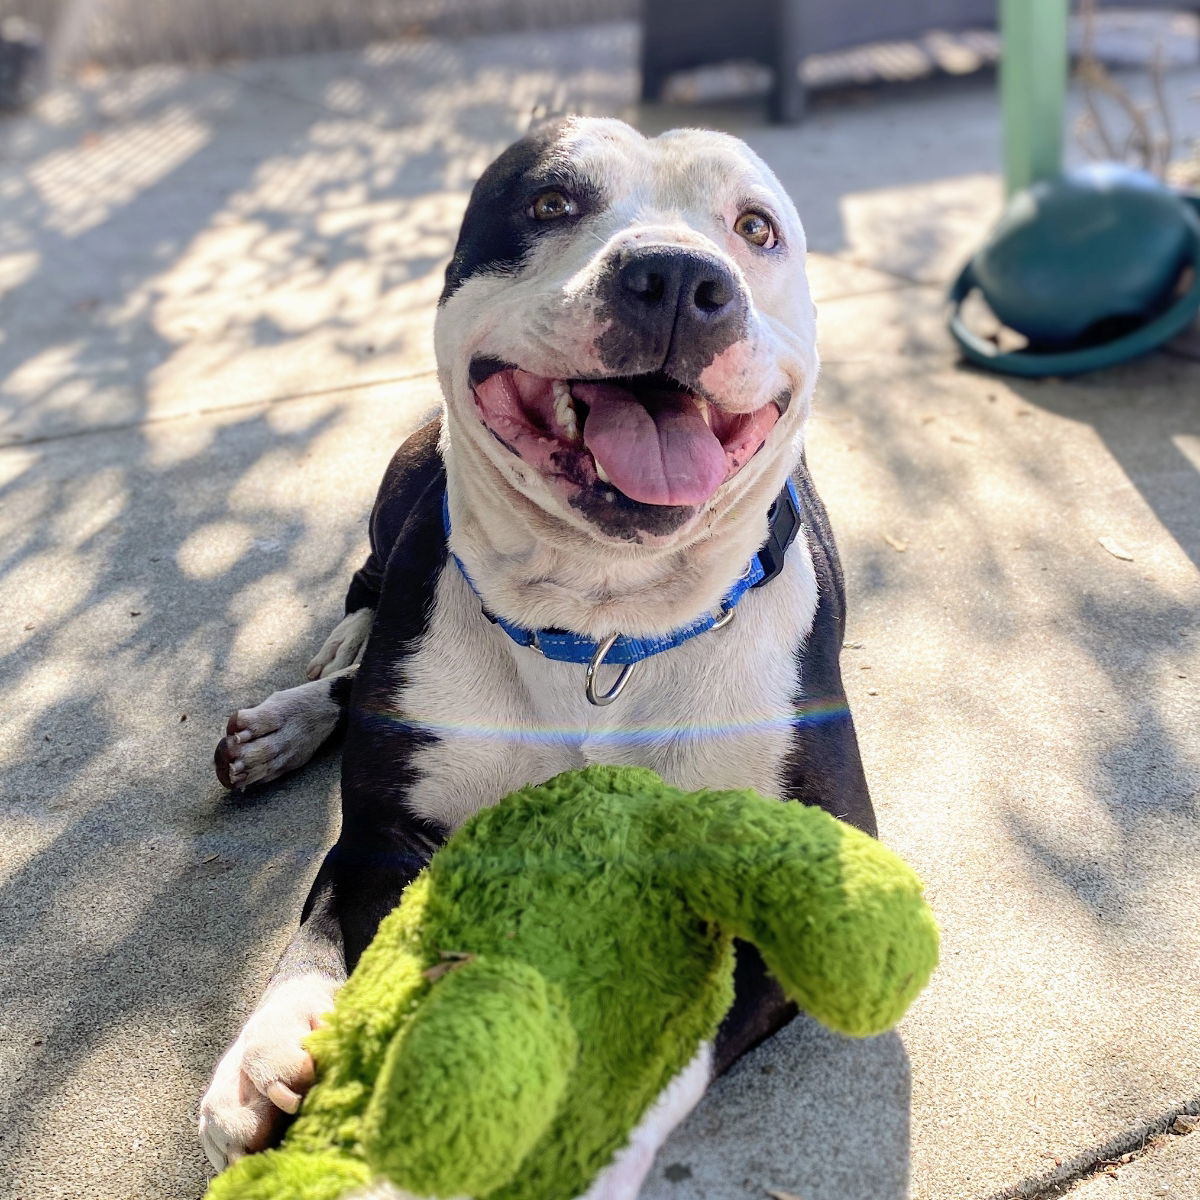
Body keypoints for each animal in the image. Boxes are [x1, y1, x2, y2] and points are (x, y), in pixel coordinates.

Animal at [196, 112, 873, 1190]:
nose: (678, 276)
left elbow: (666, 1044)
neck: (603, 626)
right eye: (552, 201)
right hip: (408, 474)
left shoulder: (810, 906)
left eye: (755, 227)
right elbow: (323, 929)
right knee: (367, 594)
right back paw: (298, 703)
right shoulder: (385, 833)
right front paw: (263, 1053)